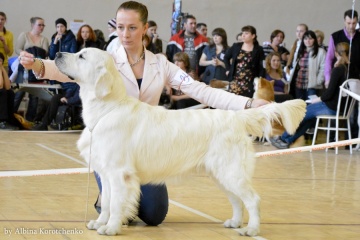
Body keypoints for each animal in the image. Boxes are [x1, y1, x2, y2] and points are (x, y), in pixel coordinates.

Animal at [54, 48, 306, 236]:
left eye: (81, 56)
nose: (56, 53)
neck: (107, 108)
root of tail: (235, 117)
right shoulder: (106, 174)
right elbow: (106, 202)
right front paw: (100, 222)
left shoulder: (119, 173)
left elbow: (116, 203)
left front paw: (111, 228)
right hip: (221, 174)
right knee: (237, 200)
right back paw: (234, 222)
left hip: (231, 171)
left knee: (252, 199)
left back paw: (251, 229)